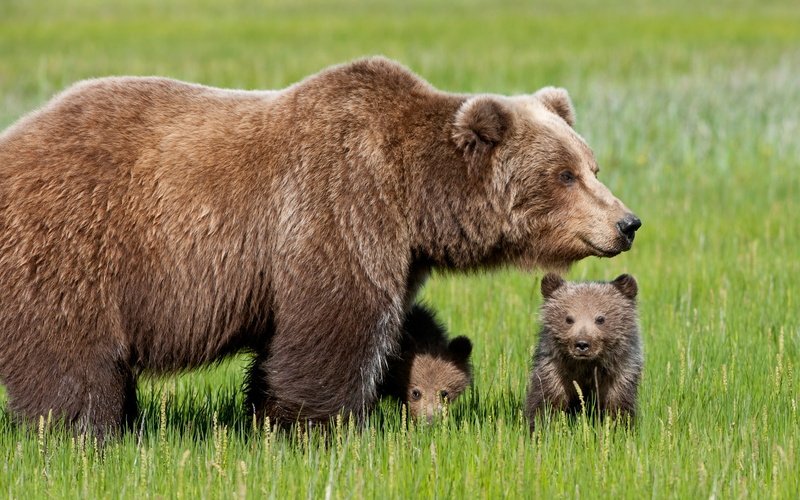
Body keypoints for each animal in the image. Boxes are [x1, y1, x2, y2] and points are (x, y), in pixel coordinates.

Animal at [525, 273, 643, 431]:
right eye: (569, 318)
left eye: (600, 319)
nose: (582, 344)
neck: (585, 366)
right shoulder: (555, 371)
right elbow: (546, 402)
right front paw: (540, 428)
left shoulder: (619, 373)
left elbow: (618, 406)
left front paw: (618, 428)